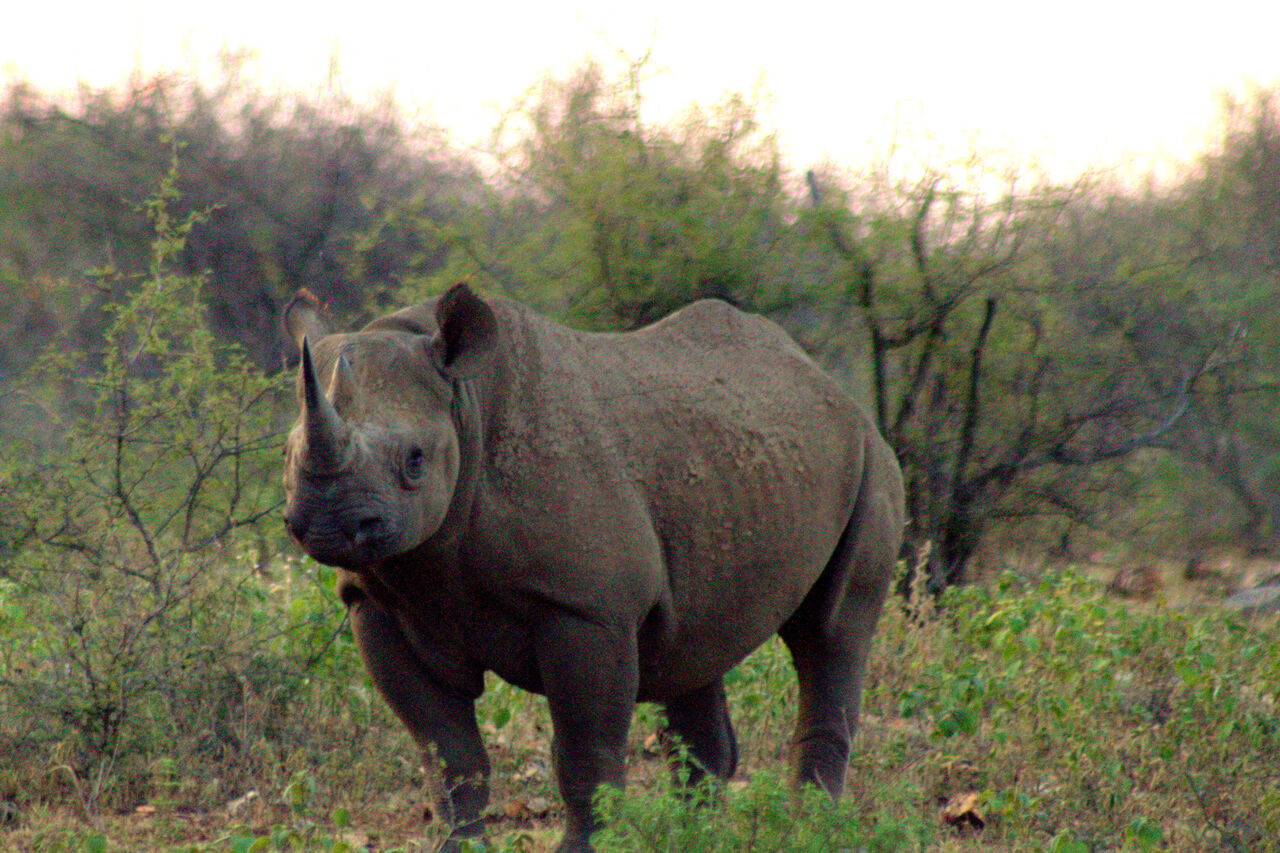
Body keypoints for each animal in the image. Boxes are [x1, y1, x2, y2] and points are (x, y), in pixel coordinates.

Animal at [281, 283, 904, 852]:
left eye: (414, 460)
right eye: (286, 455)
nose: (329, 522)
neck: (465, 402)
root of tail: (830, 384)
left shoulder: (586, 608)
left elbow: (586, 747)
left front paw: (584, 848)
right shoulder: (377, 602)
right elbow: (447, 753)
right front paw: (458, 848)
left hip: (870, 460)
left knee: (829, 632)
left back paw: (808, 831)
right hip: (733, 466)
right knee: (695, 646)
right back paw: (690, 837)